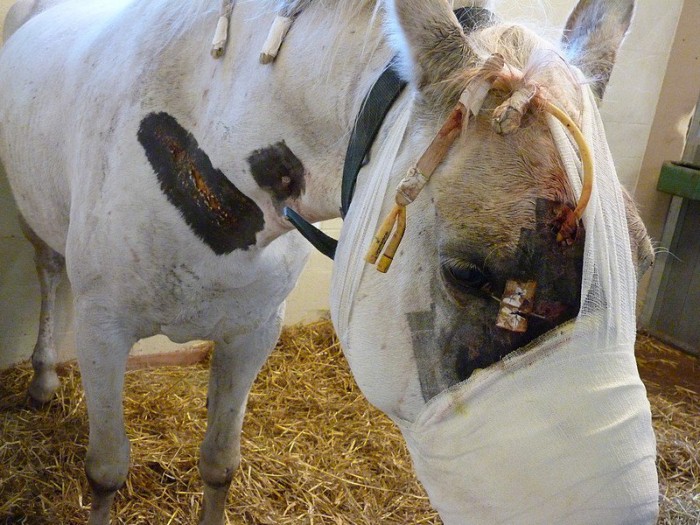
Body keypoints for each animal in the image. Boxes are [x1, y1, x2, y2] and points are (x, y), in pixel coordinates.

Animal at [0, 0, 658, 523]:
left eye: (643, 264)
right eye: (467, 273)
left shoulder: (252, 332)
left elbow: (219, 464)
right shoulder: (103, 331)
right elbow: (107, 470)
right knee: (49, 273)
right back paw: (43, 377)